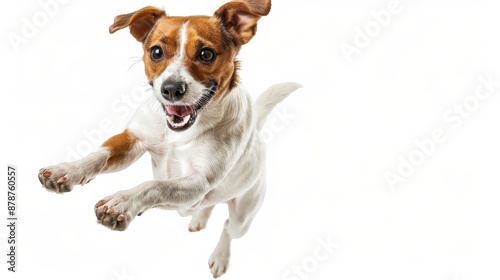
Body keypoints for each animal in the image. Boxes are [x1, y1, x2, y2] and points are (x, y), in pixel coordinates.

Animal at [37, 0, 300, 276]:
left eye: (206, 54)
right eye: (156, 52)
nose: (171, 89)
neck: (180, 133)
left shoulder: (199, 181)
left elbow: (155, 186)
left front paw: (123, 201)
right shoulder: (132, 139)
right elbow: (98, 155)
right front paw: (68, 170)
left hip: (244, 214)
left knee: (228, 226)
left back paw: (220, 256)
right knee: (207, 206)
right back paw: (199, 219)